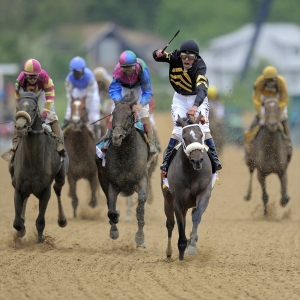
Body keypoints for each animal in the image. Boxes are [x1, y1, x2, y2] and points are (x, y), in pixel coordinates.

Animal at [9, 90, 68, 243]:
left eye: (34, 108)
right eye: (17, 107)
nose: (20, 127)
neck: (33, 159)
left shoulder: (45, 189)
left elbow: (40, 221)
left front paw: (40, 242)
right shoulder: (18, 187)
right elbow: (17, 222)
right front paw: (21, 232)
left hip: (61, 176)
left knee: (58, 189)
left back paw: (62, 219)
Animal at [163, 115, 212, 260]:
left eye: (201, 135)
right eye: (184, 137)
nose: (197, 161)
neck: (191, 172)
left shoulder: (204, 194)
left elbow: (196, 216)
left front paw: (192, 246)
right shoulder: (177, 201)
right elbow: (179, 225)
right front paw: (181, 255)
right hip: (167, 199)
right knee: (170, 224)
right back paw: (169, 252)